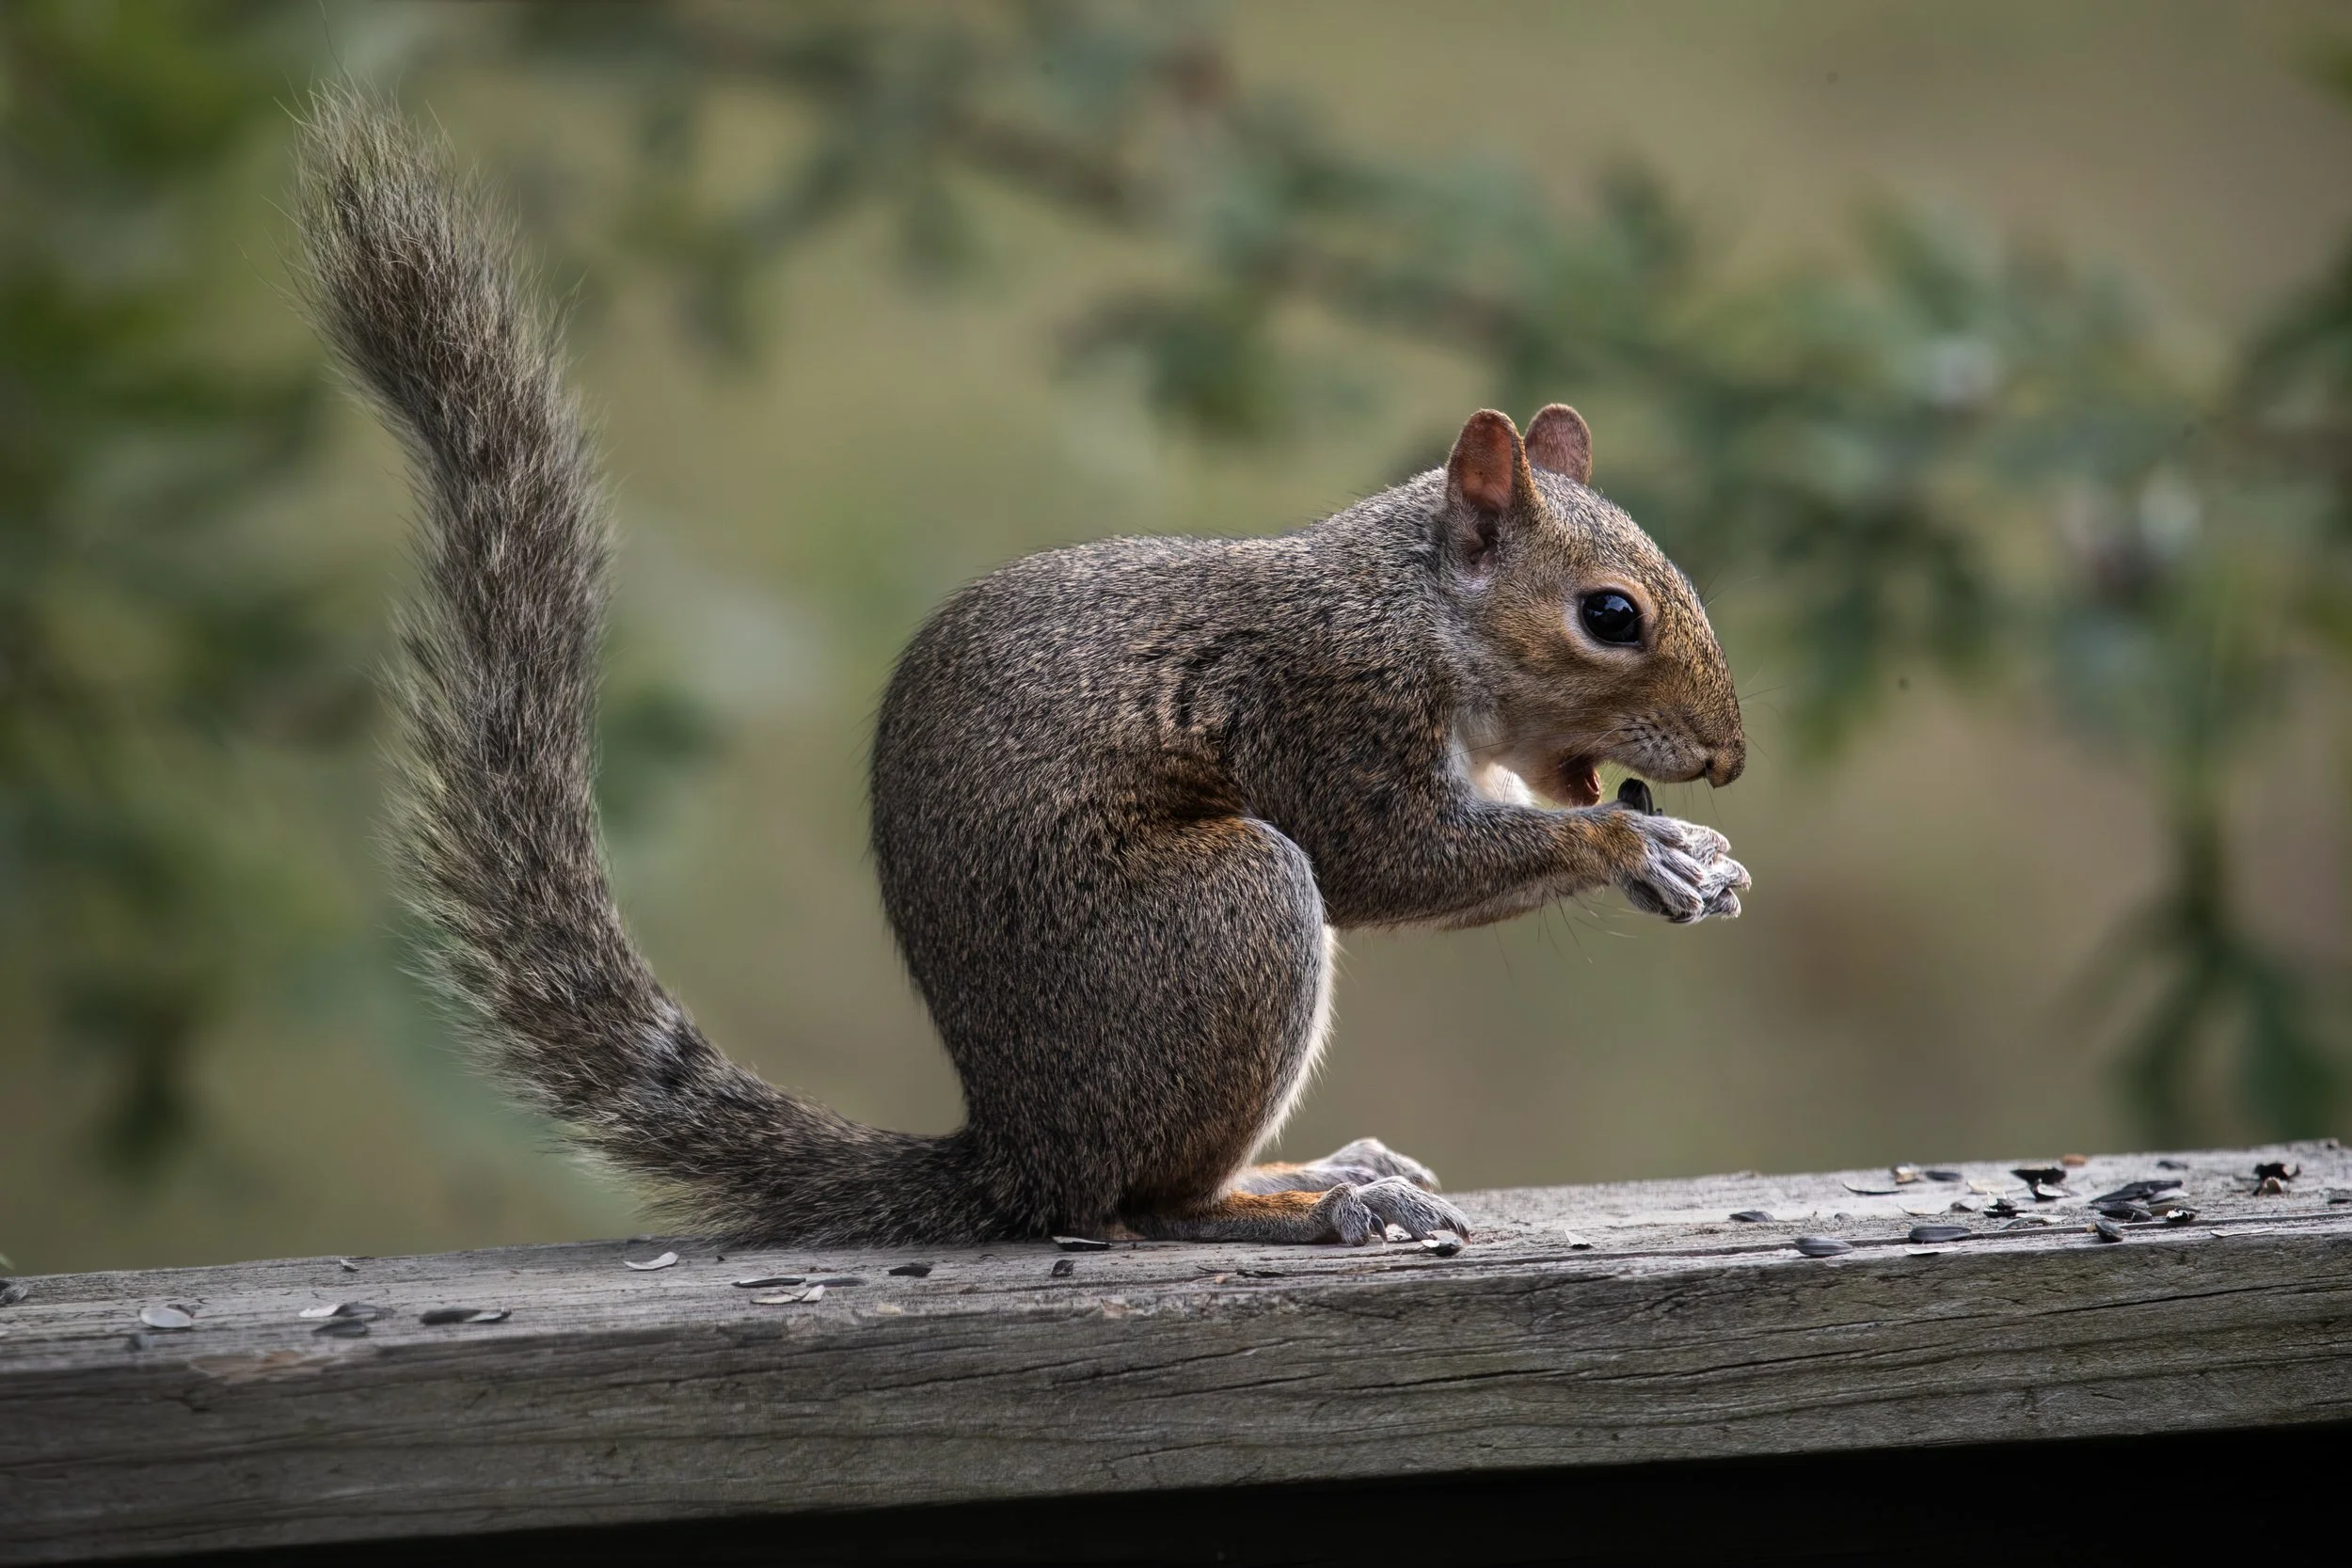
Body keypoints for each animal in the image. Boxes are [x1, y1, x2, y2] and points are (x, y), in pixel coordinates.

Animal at [293, 98, 1749, 1250]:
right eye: (1609, 615)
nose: (1727, 756)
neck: (1414, 611)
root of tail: (1014, 1151)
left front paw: (1695, 852)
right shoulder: (1324, 702)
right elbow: (1389, 856)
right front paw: (1636, 847)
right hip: (1219, 919)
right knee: (1143, 1200)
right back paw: (1313, 1202)